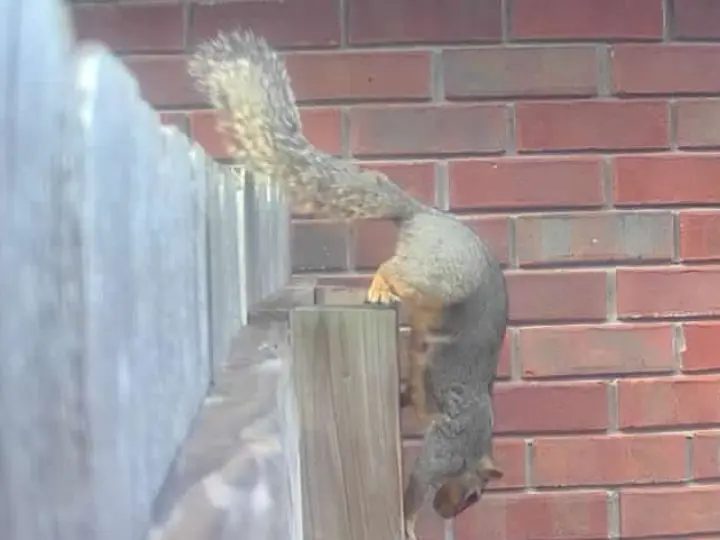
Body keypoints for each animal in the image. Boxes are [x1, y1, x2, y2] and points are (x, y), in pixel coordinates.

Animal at [188, 29, 509, 539]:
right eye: (473, 494)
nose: (448, 513)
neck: (476, 440)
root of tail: (422, 215)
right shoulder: (448, 442)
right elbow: (418, 480)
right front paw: (410, 522)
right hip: (440, 274)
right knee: (395, 267)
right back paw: (379, 284)